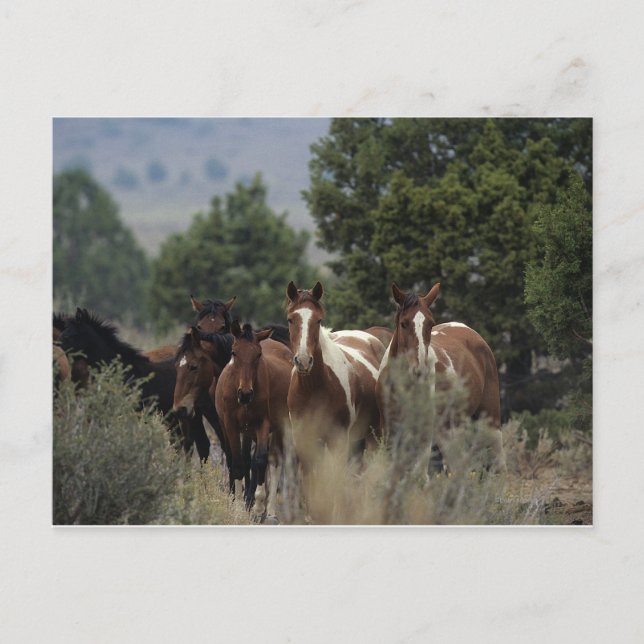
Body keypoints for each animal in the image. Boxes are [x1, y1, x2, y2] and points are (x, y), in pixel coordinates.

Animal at [215, 321, 293, 520]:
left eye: (258, 354)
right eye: (234, 352)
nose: (245, 394)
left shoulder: (263, 424)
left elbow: (260, 461)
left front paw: (257, 506)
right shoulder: (231, 425)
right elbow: (237, 462)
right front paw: (238, 508)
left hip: (279, 427)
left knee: (274, 461)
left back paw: (270, 512)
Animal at [286, 281, 386, 479]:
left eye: (318, 320)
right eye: (290, 319)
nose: (303, 361)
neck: (314, 388)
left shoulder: (338, 441)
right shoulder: (304, 441)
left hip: (373, 436)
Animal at [376, 282, 505, 472]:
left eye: (431, 324)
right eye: (404, 323)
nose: (420, 369)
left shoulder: (424, 431)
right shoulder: (389, 429)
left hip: (490, 420)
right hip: (449, 430)